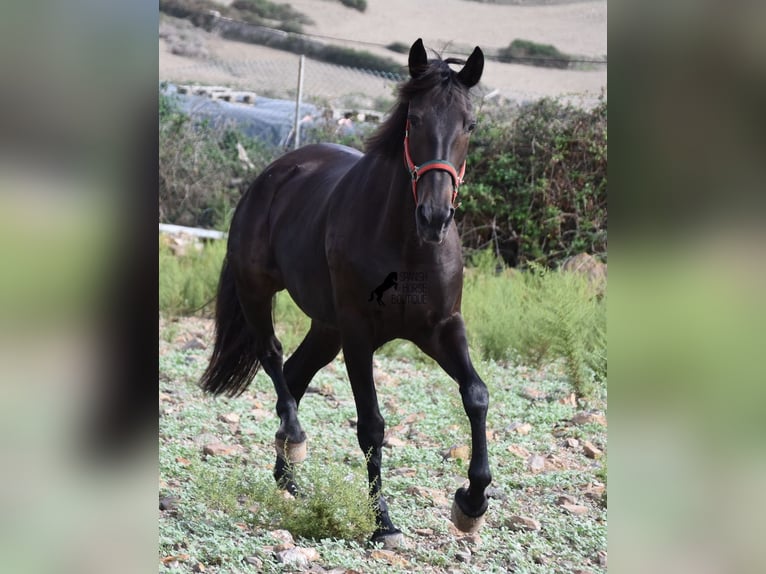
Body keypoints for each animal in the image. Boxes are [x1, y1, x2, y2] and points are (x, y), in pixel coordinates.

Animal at [200, 40, 492, 548]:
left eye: (469, 125)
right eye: (414, 120)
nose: (435, 217)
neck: (407, 246)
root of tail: (274, 174)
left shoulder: (441, 328)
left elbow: (475, 395)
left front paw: (471, 503)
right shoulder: (359, 335)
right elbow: (371, 425)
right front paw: (384, 522)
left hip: (326, 328)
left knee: (295, 374)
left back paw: (288, 477)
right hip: (259, 291)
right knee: (272, 356)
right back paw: (294, 441)